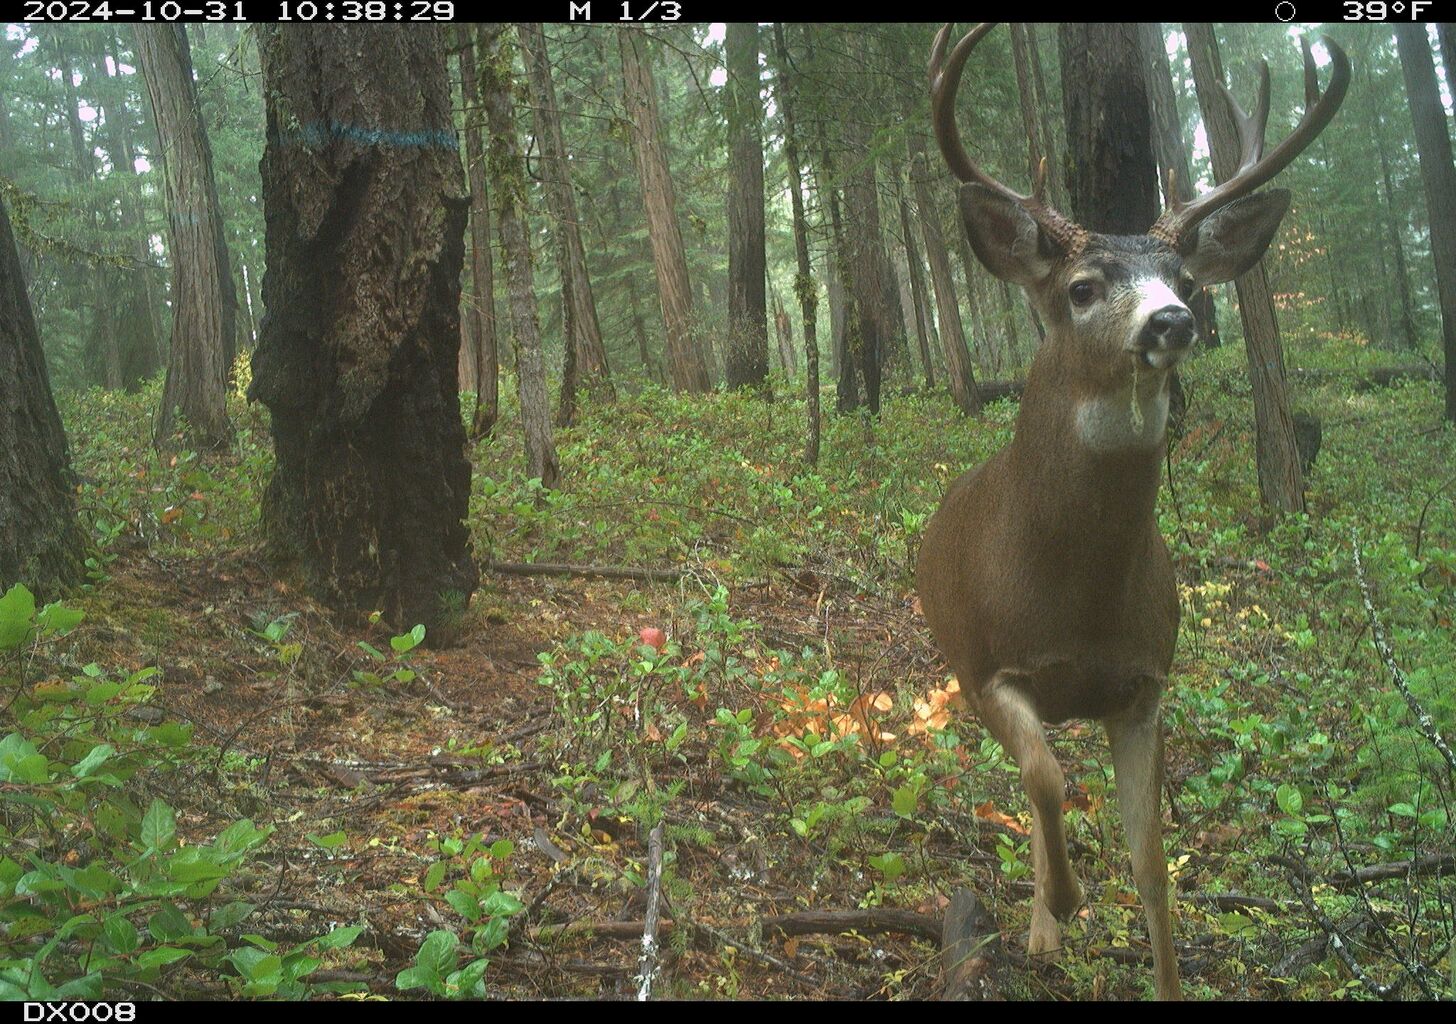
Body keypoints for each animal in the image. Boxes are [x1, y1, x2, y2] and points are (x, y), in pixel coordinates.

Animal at [916, 24, 1348, 1000]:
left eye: (1184, 274)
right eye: (1082, 286)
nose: (1173, 320)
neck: (1078, 598)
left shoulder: (1147, 681)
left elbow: (1153, 865)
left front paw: (1158, 972)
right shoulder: (992, 665)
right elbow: (1044, 779)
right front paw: (1065, 904)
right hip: (954, 657)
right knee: (1028, 775)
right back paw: (1044, 923)